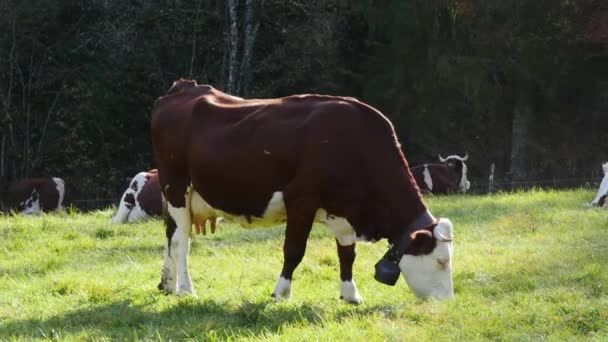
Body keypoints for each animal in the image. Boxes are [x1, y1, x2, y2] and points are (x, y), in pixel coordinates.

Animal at [151, 79, 454, 304]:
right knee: (181, 242)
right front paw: (280, 293)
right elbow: (294, 251)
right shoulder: (300, 200)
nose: (447, 302)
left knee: (170, 235)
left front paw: (350, 294)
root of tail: (185, 87)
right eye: (441, 261)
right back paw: (186, 289)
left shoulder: (344, 210)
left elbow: (347, 254)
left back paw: (167, 284)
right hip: (176, 186)